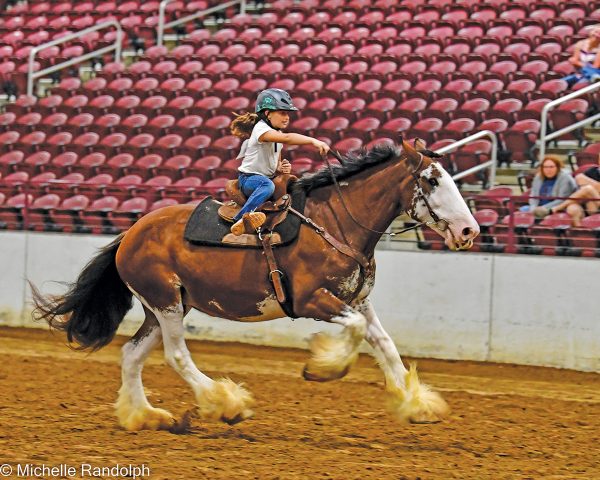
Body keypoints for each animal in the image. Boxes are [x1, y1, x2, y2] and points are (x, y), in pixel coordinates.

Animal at [34, 140, 482, 432]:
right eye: (432, 180)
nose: (469, 230)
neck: (336, 222)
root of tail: (130, 234)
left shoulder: (358, 300)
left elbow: (384, 344)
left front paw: (416, 404)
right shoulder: (313, 300)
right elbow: (356, 333)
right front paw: (322, 368)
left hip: (164, 308)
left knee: (131, 355)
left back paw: (144, 416)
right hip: (166, 305)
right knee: (177, 356)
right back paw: (225, 405)